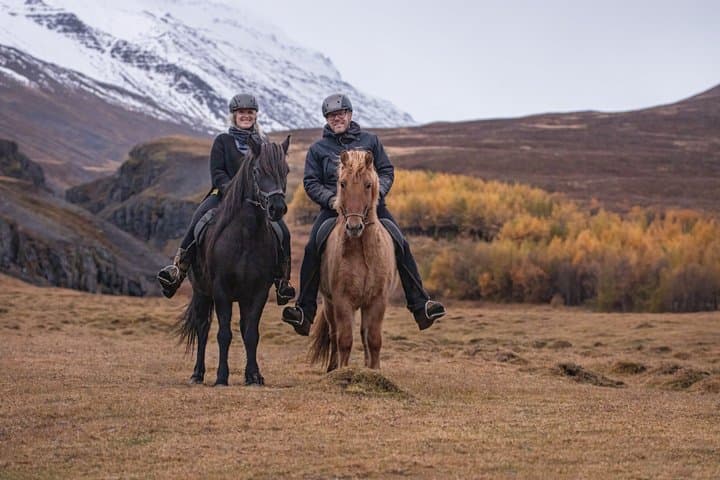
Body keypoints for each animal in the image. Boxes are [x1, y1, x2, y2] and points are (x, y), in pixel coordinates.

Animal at [176, 134, 290, 386]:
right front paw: (221, 376)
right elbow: (224, 334)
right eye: (257, 170)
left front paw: (254, 376)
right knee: (203, 328)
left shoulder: (259, 291)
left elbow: (251, 334)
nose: (277, 208)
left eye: (286, 170)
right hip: (201, 292)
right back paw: (197, 374)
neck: (246, 235)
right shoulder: (221, 290)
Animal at [309, 150, 398, 371]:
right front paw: (343, 371)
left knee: (364, 333)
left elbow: (373, 339)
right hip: (329, 303)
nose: (354, 226)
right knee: (333, 334)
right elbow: (344, 340)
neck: (362, 251)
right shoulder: (342, 300)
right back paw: (332, 367)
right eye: (342, 183)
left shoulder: (377, 300)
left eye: (368, 184)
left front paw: (374, 371)